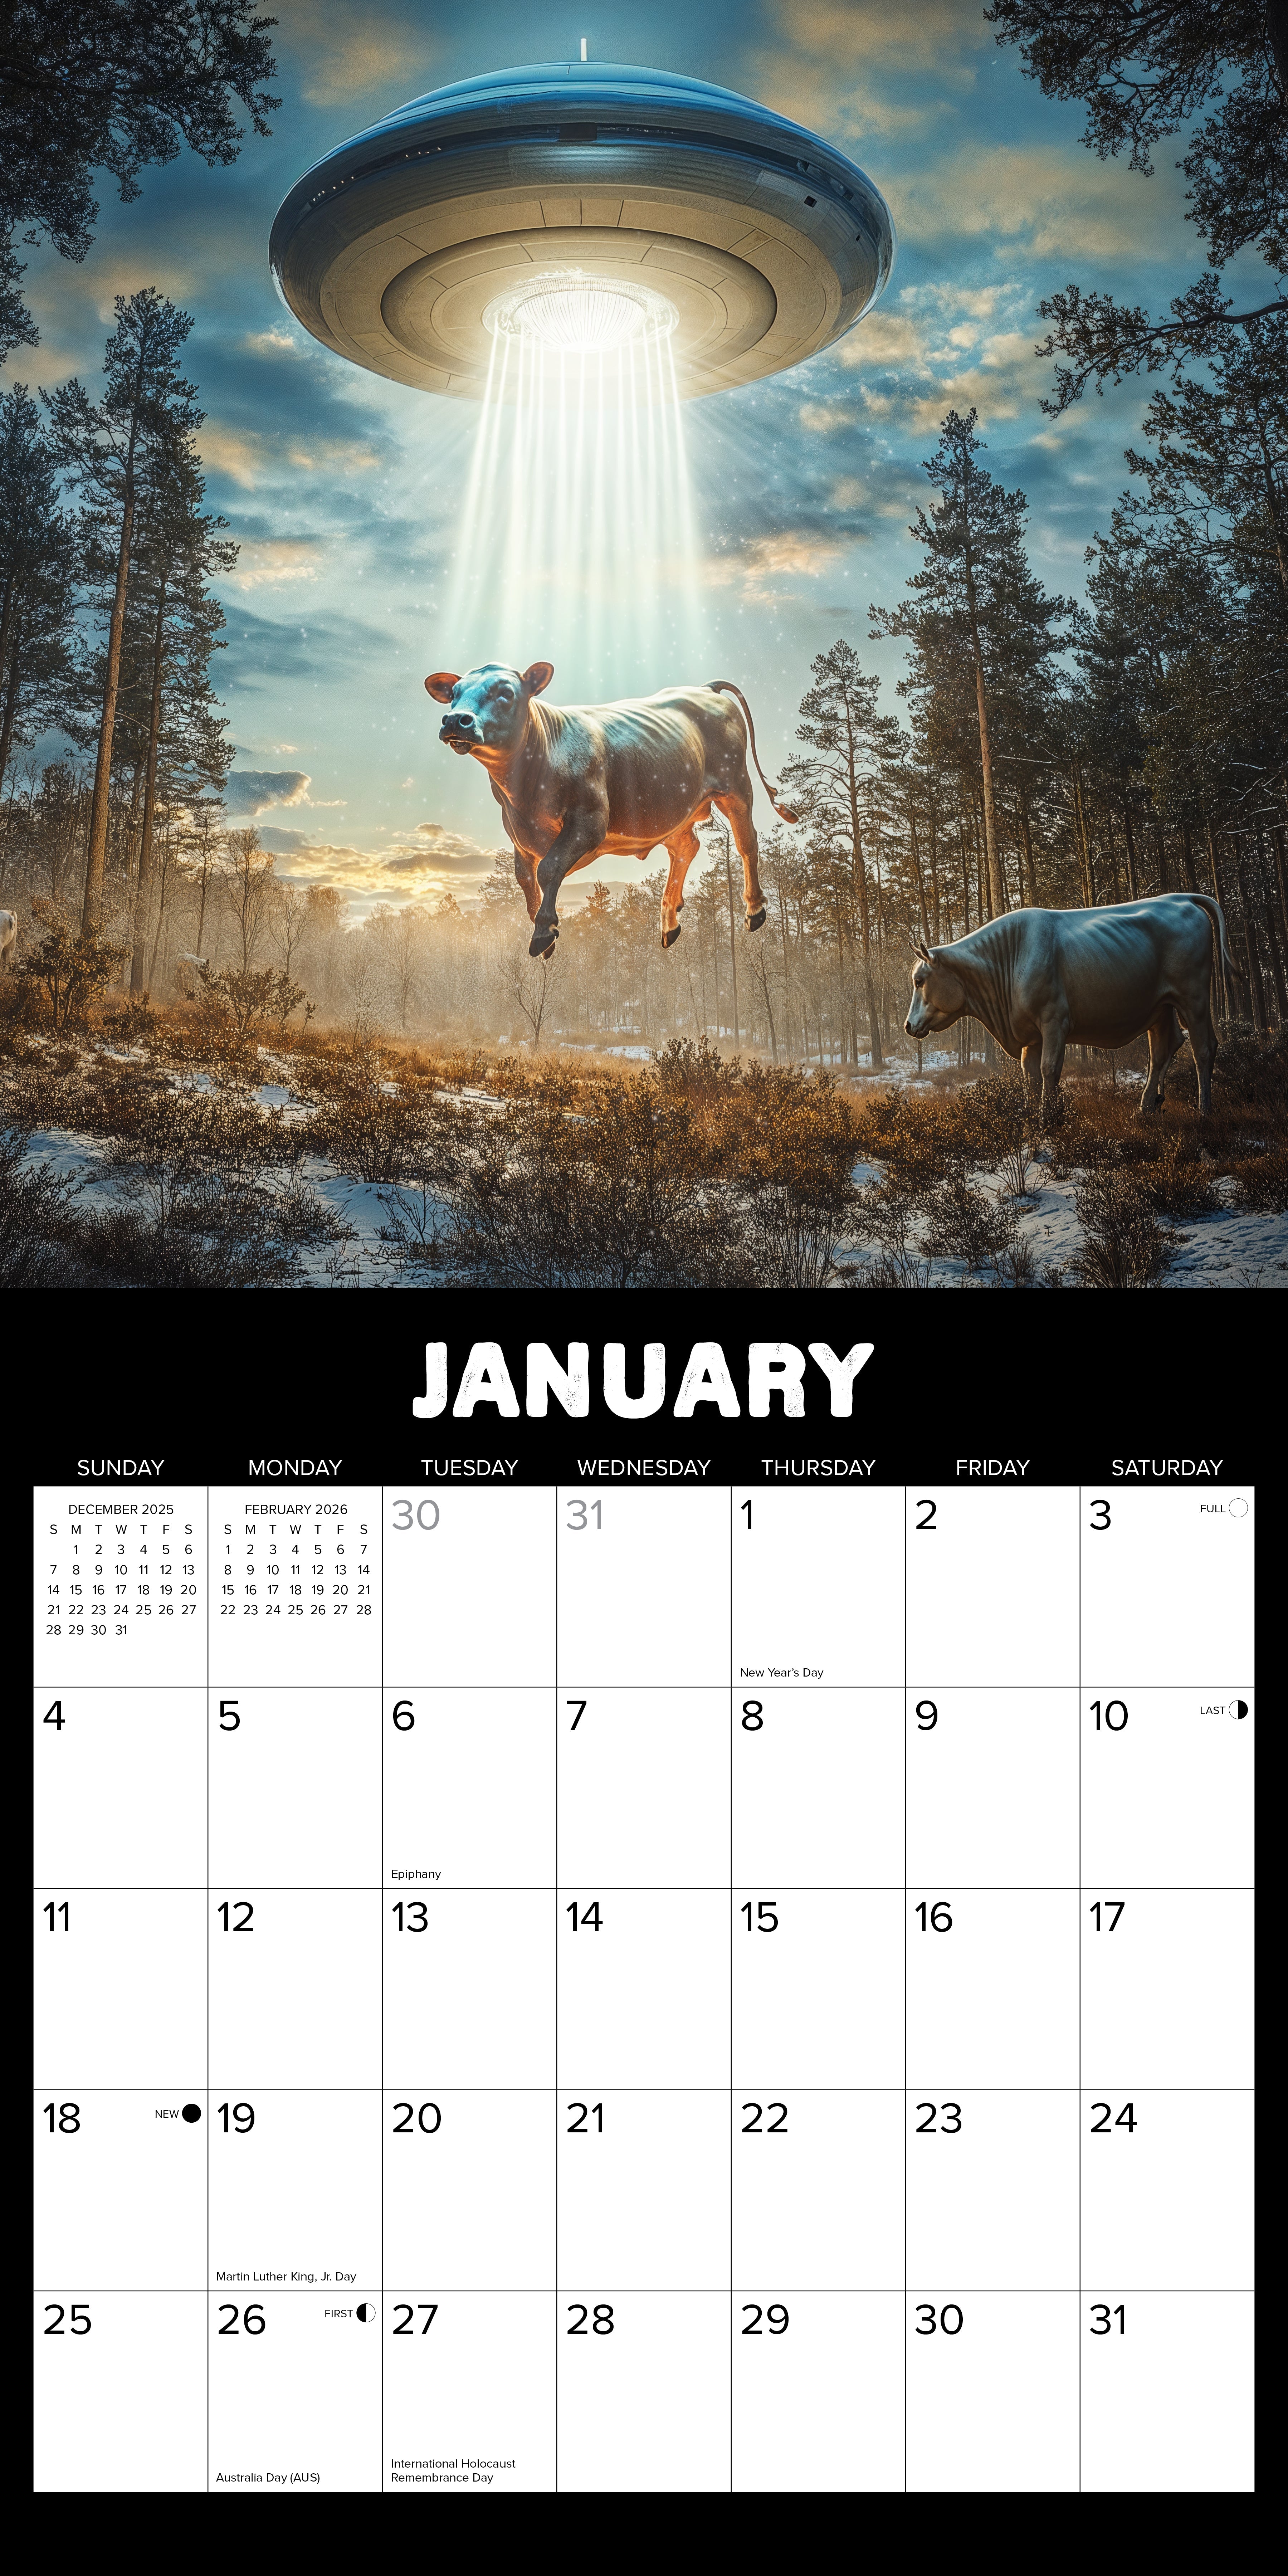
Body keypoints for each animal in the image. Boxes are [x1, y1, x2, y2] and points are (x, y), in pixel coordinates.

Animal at [424, 661, 797, 959]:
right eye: (454, 693)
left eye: (505, 692)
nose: (455, 720)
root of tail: (705, 688)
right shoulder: (517, 835)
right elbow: (526, 879)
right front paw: (546, 934)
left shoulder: (589, 821)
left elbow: (549, 869)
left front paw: (544, 932)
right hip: (670, 808)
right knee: (686, 848)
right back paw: (670, 922)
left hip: (736, 785)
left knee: (747, 842)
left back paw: (754, 910)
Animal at [903, 894, 1237, 1121]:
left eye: (919, 981)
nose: (908, 1025)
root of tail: (1182, 897)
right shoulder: (1030, 1035)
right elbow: (1030, 1076)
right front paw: (1030, 1120)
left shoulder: (1054, 1022)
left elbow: (1049, 1069)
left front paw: (1047, 1121)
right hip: (1161, 1008)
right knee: (1164, 1050)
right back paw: (1146, 1108)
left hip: (1194, 998)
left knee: (1203, 1047)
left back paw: (1203, 1111)